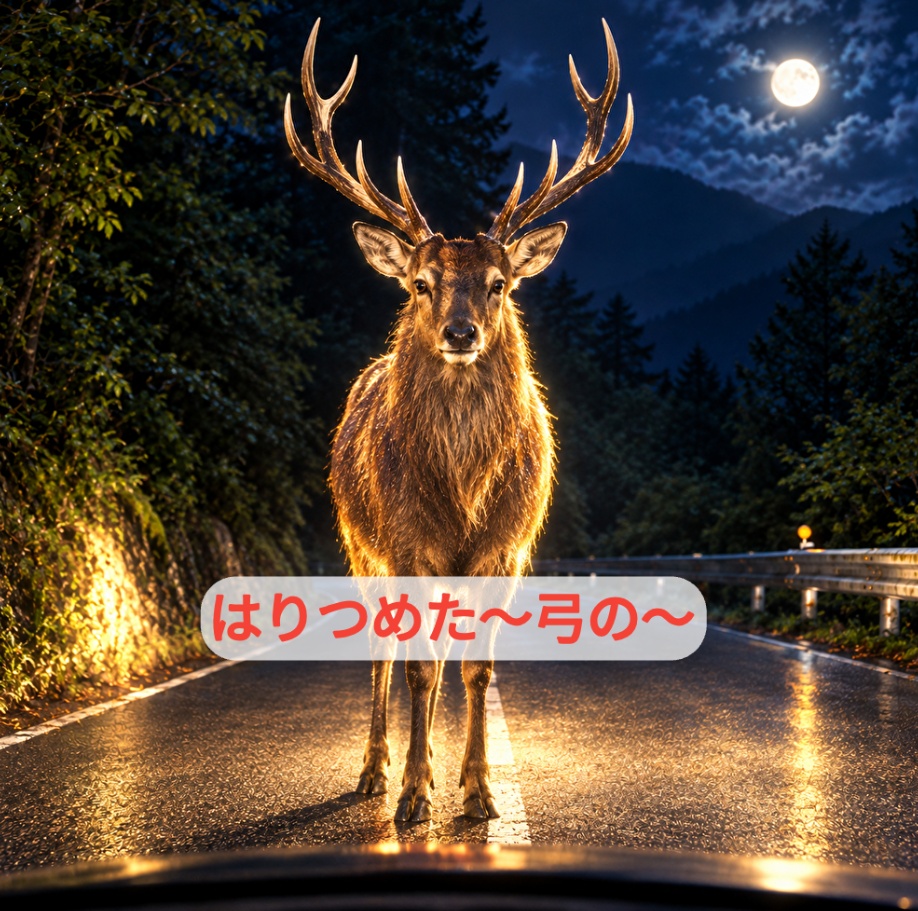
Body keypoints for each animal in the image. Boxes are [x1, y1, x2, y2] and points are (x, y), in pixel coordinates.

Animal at [284, 18, 632, 823]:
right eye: (420, 283)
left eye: (499, 283)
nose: (461, 332)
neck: (464, 490)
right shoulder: (407, 539)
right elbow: (416, 669)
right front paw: (414, 792)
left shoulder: (505, 547)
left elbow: (476, 668)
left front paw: (477, 792)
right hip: (360, 544)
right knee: (384, 655)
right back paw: (376, 770)